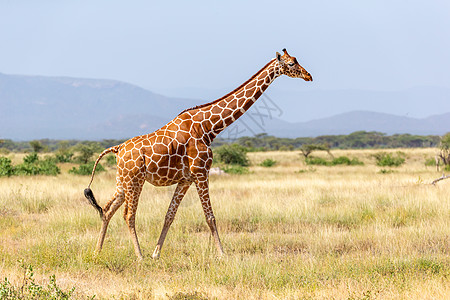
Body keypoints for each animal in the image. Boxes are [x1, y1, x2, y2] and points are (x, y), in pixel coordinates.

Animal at [84, 48, 312, 258]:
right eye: (291, 64)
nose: (308, 75)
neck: (208, 128)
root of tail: (117, 148)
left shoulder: (186, 179)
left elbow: (169, 215)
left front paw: (156, 254)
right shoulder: (202, 172)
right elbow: (210, 216)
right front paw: (222, 254)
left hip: (122, 182)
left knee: (107, 209)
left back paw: (97, 252)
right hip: (134, 181)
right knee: (128, 215)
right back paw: (139, 256)